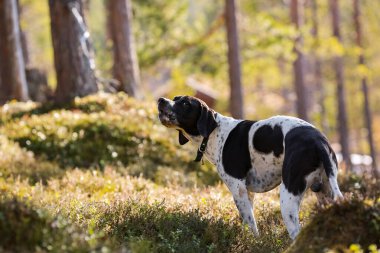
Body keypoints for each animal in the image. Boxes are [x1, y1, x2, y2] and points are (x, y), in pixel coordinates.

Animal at [157, 95, 344, 239]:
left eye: (185, 103)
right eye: (175, 98)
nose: (161, 100)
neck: (214, 132)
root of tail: (317, 140)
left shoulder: (238, 189)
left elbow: (251, 225)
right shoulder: (248, 192)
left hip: (288, 198)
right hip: (325, 194)